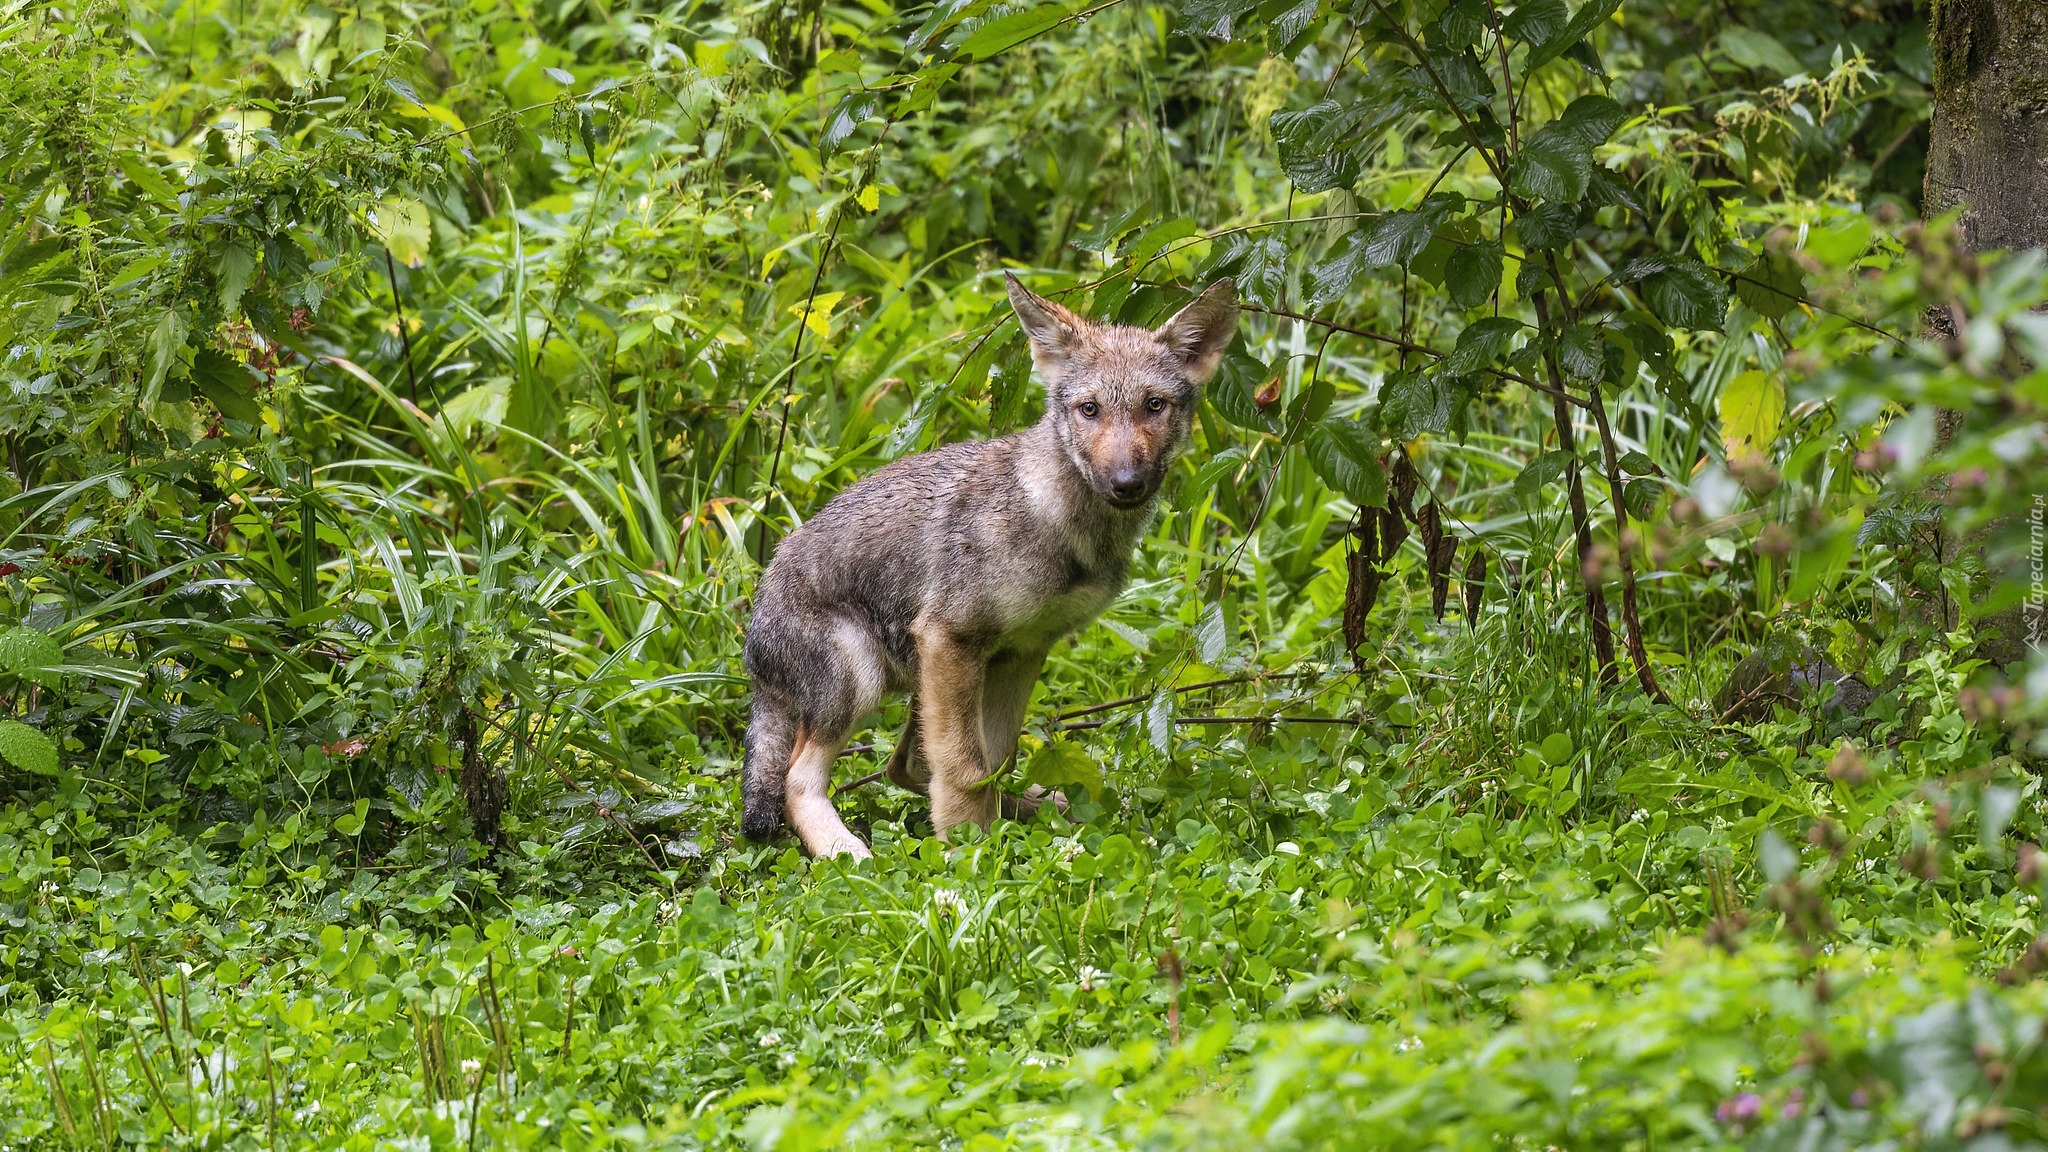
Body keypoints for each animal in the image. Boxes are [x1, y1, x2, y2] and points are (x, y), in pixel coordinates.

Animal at [745, 272, 1236, 856]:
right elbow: (966, 769)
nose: (1126, 483)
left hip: (916, 683)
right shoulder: (951, 639)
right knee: (798, 783)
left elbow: (994, 763)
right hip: (863, 681)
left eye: (1154, 406)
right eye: (1090, 409)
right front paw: (967, 855)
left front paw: (995, 839)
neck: (1058, 523)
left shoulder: (1020, 652)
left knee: (904, 767)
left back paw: (1043, 811)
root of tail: (753, 643)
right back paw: (851, 858)